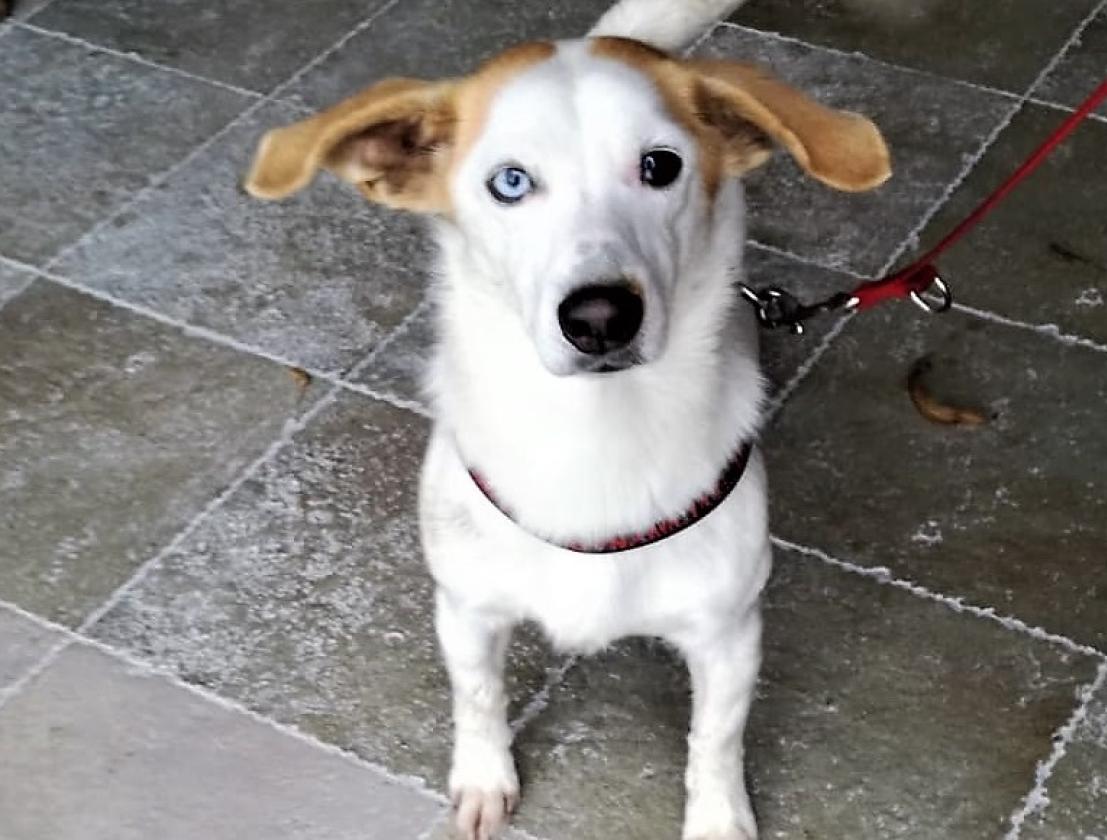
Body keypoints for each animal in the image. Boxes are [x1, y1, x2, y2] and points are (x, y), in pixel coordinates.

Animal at [245, 1, 889, 836]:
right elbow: (477, 699)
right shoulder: (466, 608)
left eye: (660, 166)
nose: (599, 317)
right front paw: (483, 780)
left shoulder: (728, 633)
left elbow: (714, 741)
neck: (594, 435)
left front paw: (718, 818)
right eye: (511, 182)